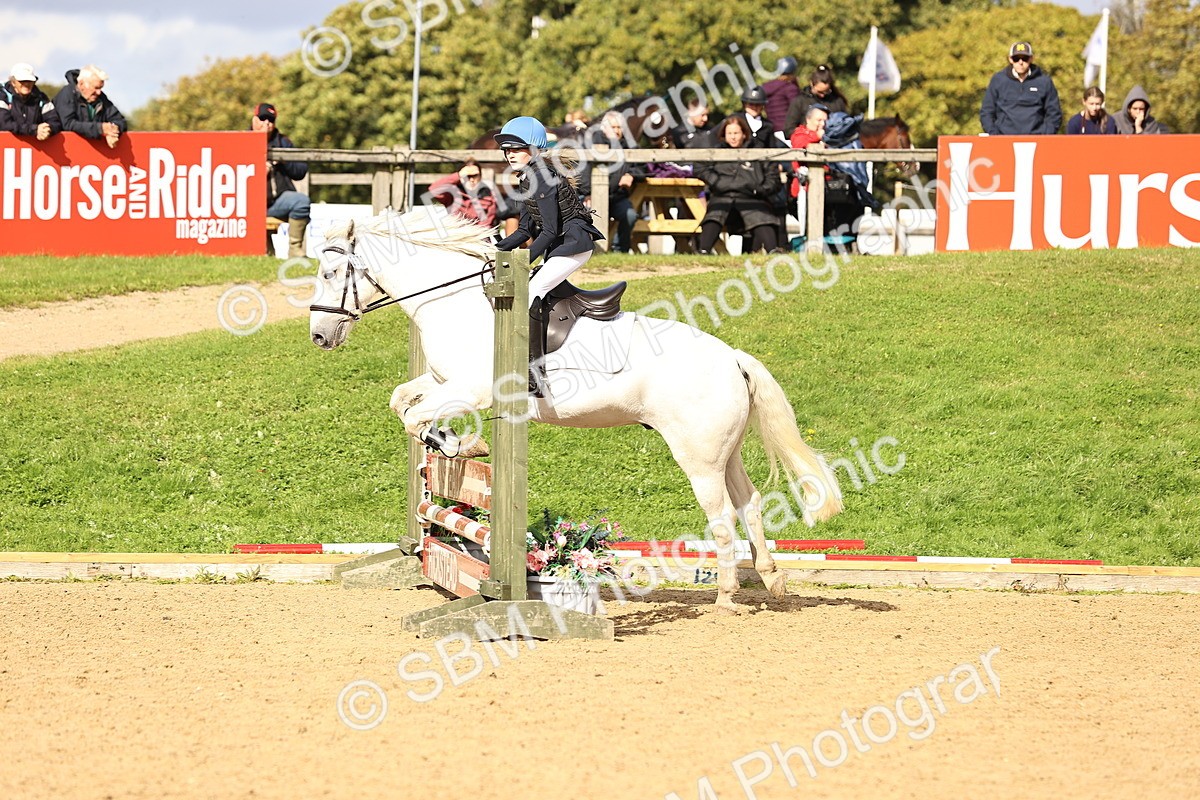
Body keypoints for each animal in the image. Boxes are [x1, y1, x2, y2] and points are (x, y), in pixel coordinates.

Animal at [307, 206, 843, 612]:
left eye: (331, 274)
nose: (319, 336)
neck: (455, 303)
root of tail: (732, 357)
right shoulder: (443, 381)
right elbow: (402, 400)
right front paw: (455, 444)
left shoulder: (473, 388)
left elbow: (416, 418)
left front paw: (457, 444)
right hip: (723, 451)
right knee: (749, 502)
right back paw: (772, 580)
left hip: (699, 456)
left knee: (722, 514)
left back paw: (728, 596)